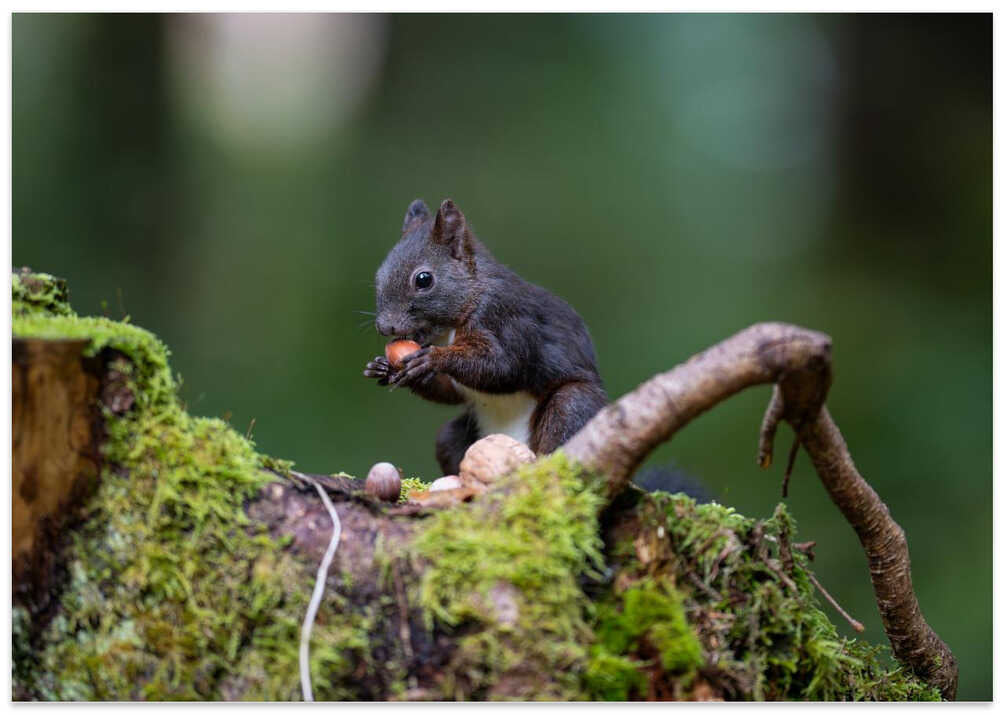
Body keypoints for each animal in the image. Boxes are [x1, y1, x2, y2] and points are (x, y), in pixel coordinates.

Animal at [363, 198, 608, 476]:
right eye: (378, 276)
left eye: (424, 279)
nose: (385, 327)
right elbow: (451, 392)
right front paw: (382, 367)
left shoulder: (506, 317)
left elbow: (504, 367)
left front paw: (433, 359)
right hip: (455, 436)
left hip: (572, 407)